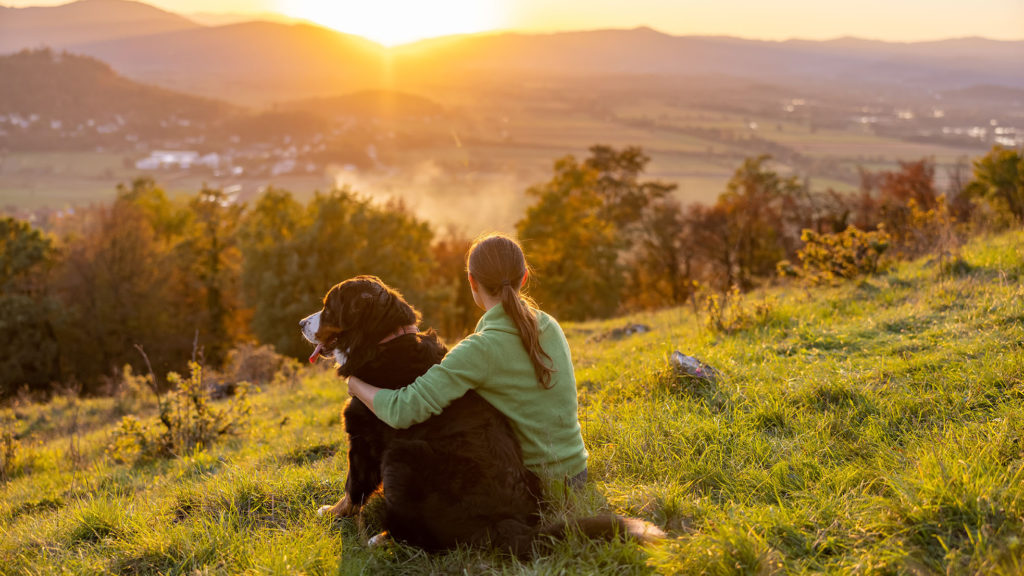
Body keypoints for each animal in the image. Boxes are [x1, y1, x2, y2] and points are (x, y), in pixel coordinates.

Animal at [299, 276, 663, 553]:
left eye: (329, 306)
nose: (301, 322)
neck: (383, 341)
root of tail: (507, 523)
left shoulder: (364, 440)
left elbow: (352, 488)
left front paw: (332, 513)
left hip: (403, 455)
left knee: (422, 539)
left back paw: (382, 539)